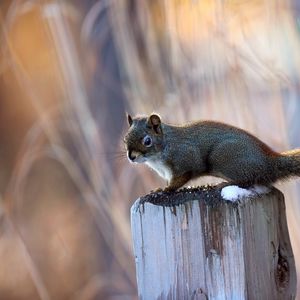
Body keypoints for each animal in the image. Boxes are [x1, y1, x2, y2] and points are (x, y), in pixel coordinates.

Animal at [123, 112, 300, 192]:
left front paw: (165, 189)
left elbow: (181, 178)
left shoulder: (185, 159)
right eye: (125, 139)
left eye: (147, 141)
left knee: (248, 179)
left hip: (224, 158)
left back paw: (225, 183)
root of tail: (268, 161)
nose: (131, 157)